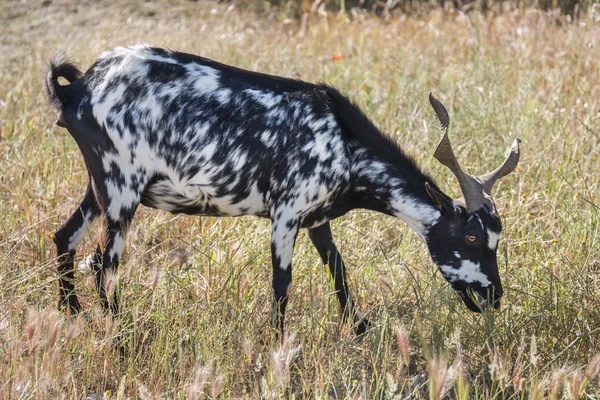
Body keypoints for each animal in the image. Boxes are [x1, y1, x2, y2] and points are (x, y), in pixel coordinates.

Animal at [45, 45, 520, 336]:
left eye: (497, 239)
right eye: (471, 237)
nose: (493, 297)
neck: (342, 141)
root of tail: (79, 90)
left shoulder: (317, 219)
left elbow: (338, 271)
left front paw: (361, 330)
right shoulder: (286, 213)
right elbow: (282, 284)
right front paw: (276, 347)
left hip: (98, 187)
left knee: (64, 238)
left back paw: (72, 317)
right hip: (121, 188)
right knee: (103, 268)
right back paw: (123, 339)